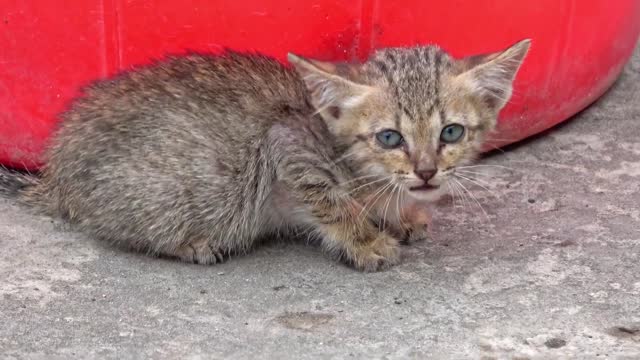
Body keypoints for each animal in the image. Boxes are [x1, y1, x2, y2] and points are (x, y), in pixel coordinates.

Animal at [0, 40, 528, 270]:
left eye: (452, 132)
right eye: (389, 138)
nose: (426, 172)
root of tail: (56, 172)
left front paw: (403, 213)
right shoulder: (287, 144)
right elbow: (333, 204)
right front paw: (365, 239)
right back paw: (190, 243)